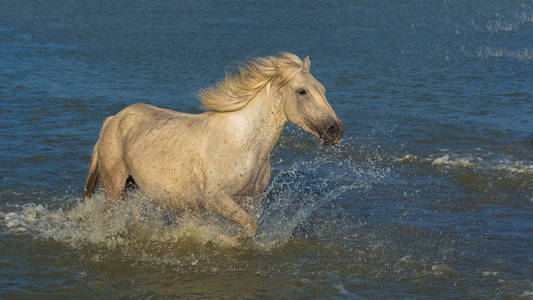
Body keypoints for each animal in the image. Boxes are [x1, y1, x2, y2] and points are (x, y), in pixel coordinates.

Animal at [81, 53, 342, 237]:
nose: (336, 130)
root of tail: (113, 119)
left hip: (131, 185)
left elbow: (250, 227)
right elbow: (249, 227)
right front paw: (220, 241)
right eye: (302, 91)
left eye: (323, 89)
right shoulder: (215, 198)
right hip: (113, 185)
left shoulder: (251, 199)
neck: (245, 144)